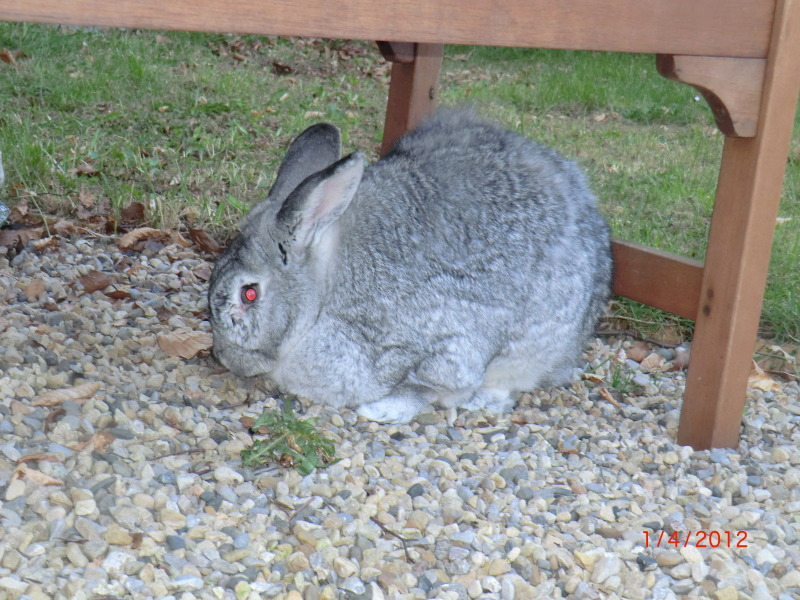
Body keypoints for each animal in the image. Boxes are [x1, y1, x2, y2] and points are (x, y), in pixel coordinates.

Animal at [208, 110, 612, 424]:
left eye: (249, 294)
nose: (224, 358)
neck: (326, 296)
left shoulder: (447, 348)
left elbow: (422, 388)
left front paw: (382, 411)